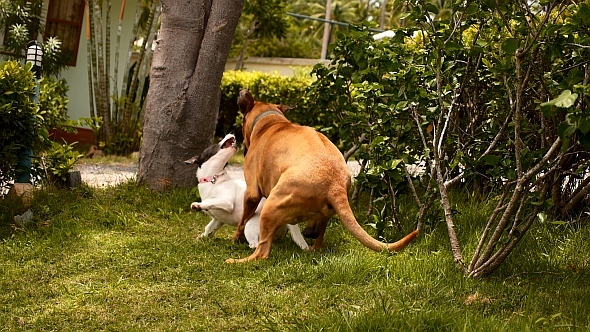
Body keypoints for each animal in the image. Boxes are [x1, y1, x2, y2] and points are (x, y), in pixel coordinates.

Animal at [224, 89, 418, 264]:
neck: (270, 121)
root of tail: (335, 186)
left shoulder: (251, 194)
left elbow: (242, 221)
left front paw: (234, 239)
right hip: (321, 216)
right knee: (318, 240)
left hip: (271, 206)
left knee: (262, 252)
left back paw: (238, 260)